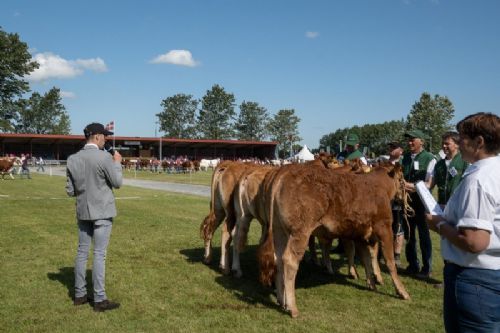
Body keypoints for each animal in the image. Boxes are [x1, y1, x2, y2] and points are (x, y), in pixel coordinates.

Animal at [258, 163, 410, 316]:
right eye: (402, 178)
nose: (410, 190)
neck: (380, 187)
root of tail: (284, 170)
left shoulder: (360, 235)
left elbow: (366, 260)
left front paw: (371, 285)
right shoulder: (385, 228)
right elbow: (390, 262)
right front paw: (402, 292)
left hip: (279, 231)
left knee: (278, 259)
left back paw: (281, 300)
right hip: (299, 232)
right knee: (289, 261)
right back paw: (292, 307)